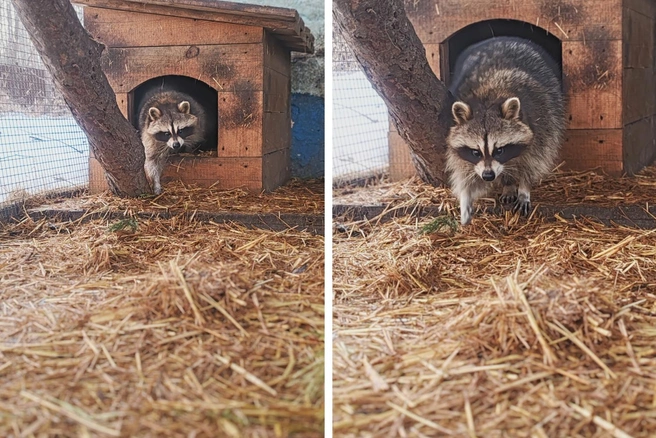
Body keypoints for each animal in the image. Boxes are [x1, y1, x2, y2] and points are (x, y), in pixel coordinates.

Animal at [444, 36, 568, 224]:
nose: (488, 175)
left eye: (499, 150)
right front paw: (466, 196)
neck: (489, 97)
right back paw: (508, 185)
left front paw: (524, 188)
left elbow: (534, 162)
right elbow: (462, 168)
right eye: (476, 152)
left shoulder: (543, 122)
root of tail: (501, 38)